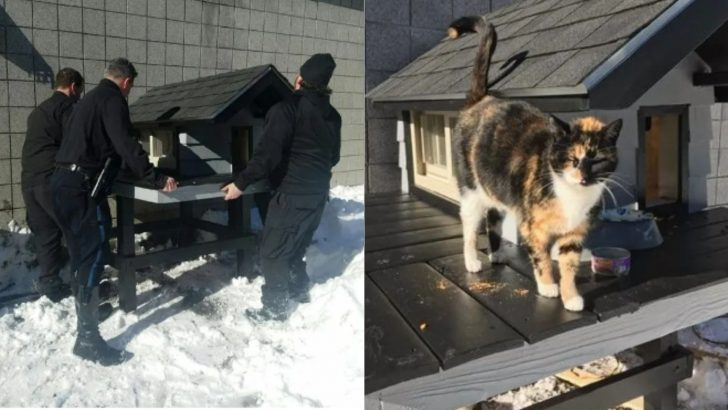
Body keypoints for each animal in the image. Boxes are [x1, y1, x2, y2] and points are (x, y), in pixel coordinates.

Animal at [450, 16, 620, 310]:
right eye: (572, 159)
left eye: (597, 160)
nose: (583, 176)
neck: (571, 196)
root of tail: (480, 99)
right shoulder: (532, 228)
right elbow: (541, 259)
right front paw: (548, 286)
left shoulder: (574, 233)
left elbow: (568, 264)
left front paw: (571, 297)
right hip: (471, 191)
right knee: (470, 227)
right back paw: (472, 261)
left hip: (496, 189)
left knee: (493, 217)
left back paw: (496, 254)